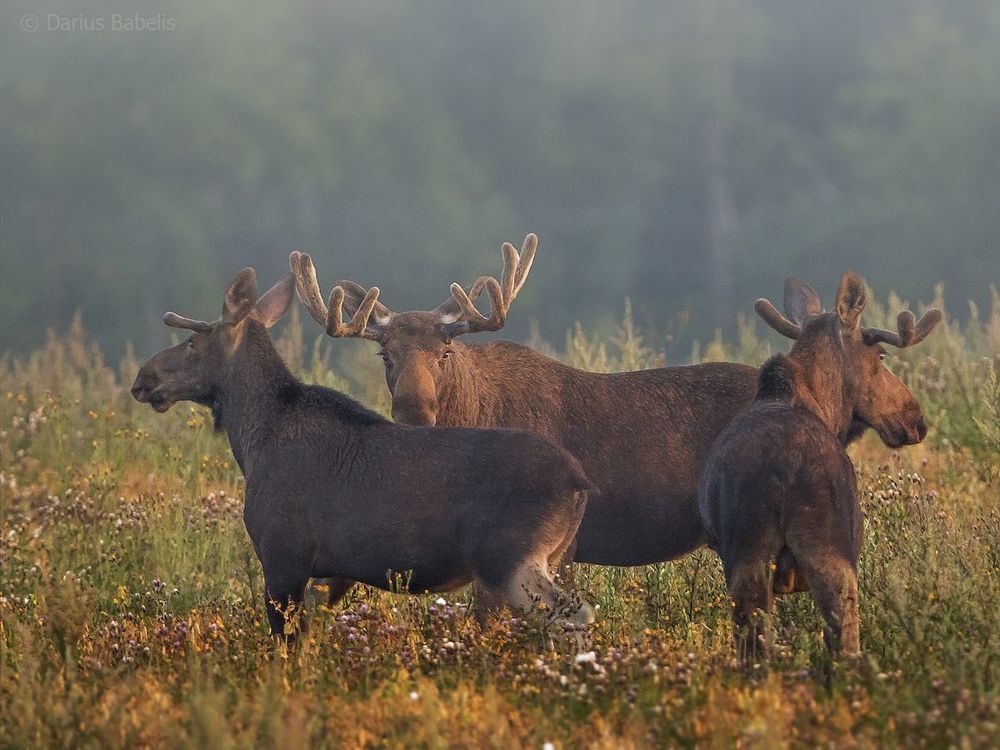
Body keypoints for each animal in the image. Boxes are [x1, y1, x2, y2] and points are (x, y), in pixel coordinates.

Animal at [130, 267, 596, 641]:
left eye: (192, 342)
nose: (143, 378)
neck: (254, 439)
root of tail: (580, 483)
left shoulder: (283, 555)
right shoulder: (328, 575)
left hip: (512, 559)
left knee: (576, 616)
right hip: (547, 557)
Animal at [698, 273, 941, 661]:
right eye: (882, 354)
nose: (915, 419)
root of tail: (783, 470)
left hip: (747, 555)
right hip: (830, 549)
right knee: (844, 633)